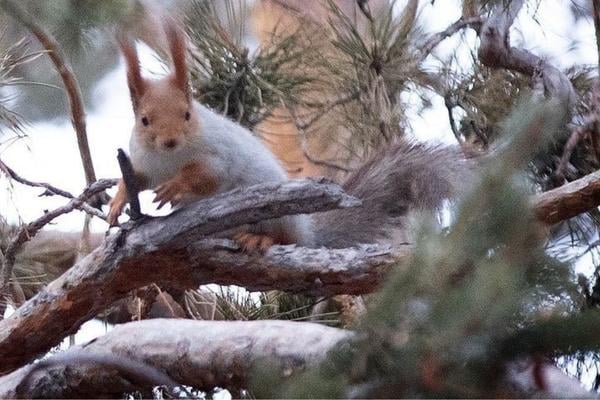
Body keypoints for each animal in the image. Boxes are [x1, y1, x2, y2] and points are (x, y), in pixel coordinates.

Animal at [108, 19, 472, 250]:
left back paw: (259, 239)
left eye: (187, 113)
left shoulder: (220, 151)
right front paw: (119, 201)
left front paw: (176, 186)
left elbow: (209, 174)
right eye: (144, 120)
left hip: (280, 219)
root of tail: (307, 232)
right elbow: (136, 178)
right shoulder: (143, 159)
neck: (170, 158)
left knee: (285, 239)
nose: (170, 141)